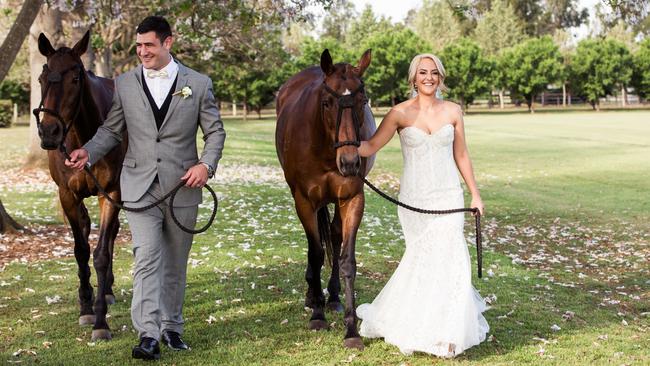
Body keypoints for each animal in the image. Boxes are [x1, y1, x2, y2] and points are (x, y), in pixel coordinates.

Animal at [35, 30, 125, 340]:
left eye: (75, 78)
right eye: (41, 77)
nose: (49, 132)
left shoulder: (110, 193)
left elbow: (101, 253)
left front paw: (101, 321)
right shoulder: (68, 196)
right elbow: (80, 250)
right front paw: (86, 308)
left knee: (110, 238)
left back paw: (106, 291)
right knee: (86, 230)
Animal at [274, 49, 374, 348]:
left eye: (362, 101)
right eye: (327, 102)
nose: (350, 162)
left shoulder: (352, 199)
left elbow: (347, 259)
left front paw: (351, 329)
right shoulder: (304, 201)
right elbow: (316, 253)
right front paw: (317, 314)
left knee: (334, 234)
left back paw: (333, 296)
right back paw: (313, 297)